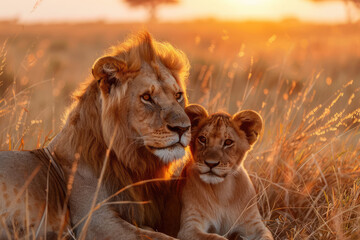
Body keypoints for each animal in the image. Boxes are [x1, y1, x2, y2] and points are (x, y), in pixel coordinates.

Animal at [0, 31, 191, 240]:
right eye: (146, 97)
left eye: (178, 95)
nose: (183, 128)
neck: (132, 162)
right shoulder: (94, 221)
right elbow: (156, 236)